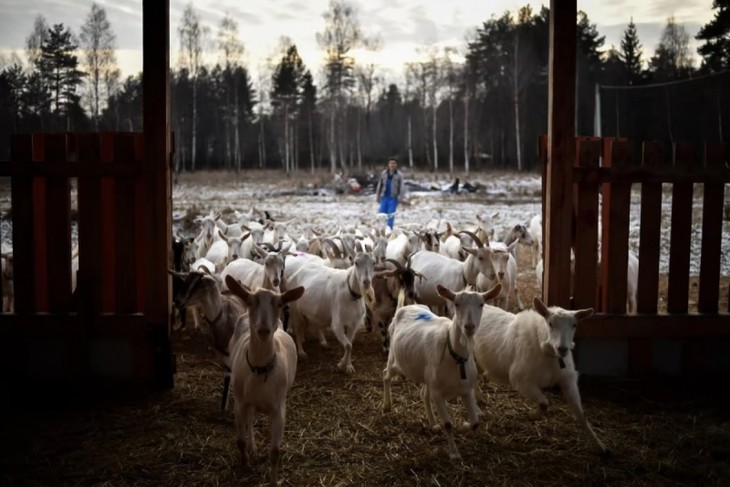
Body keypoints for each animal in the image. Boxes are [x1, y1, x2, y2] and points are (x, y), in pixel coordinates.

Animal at [222, 276, 302, 486]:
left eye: (279, 304)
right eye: (251, 302)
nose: (264, 330)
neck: (259, 370)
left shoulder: (278, 408)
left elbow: (275, 452)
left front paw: (274, 481)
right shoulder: (240, 403)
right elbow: (240, 440)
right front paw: (245, 464)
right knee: (249, 420)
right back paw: (253, 448)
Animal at [384, 284, 504, 460]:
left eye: (481, 304)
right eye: (456, 304)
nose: (469, 327)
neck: (455, 356)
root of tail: (404, 307)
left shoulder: (466, 390)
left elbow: (475, 422)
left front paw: (463, 426)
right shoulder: (438, 393)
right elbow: (448, 424)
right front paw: (454, 453)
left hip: (427, 374)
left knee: (423, 394)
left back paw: (433, 424)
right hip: (395, 359)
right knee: (386, 374)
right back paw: (387, 406)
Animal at [472, 300, 604, 456]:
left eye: (574, 325)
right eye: (550, 324)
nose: (562, 349)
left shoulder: (567, 380)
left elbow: (582, 415)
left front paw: (599, 446)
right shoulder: (522, 381)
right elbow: (544, 403)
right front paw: (533, 416)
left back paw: (480, 396)